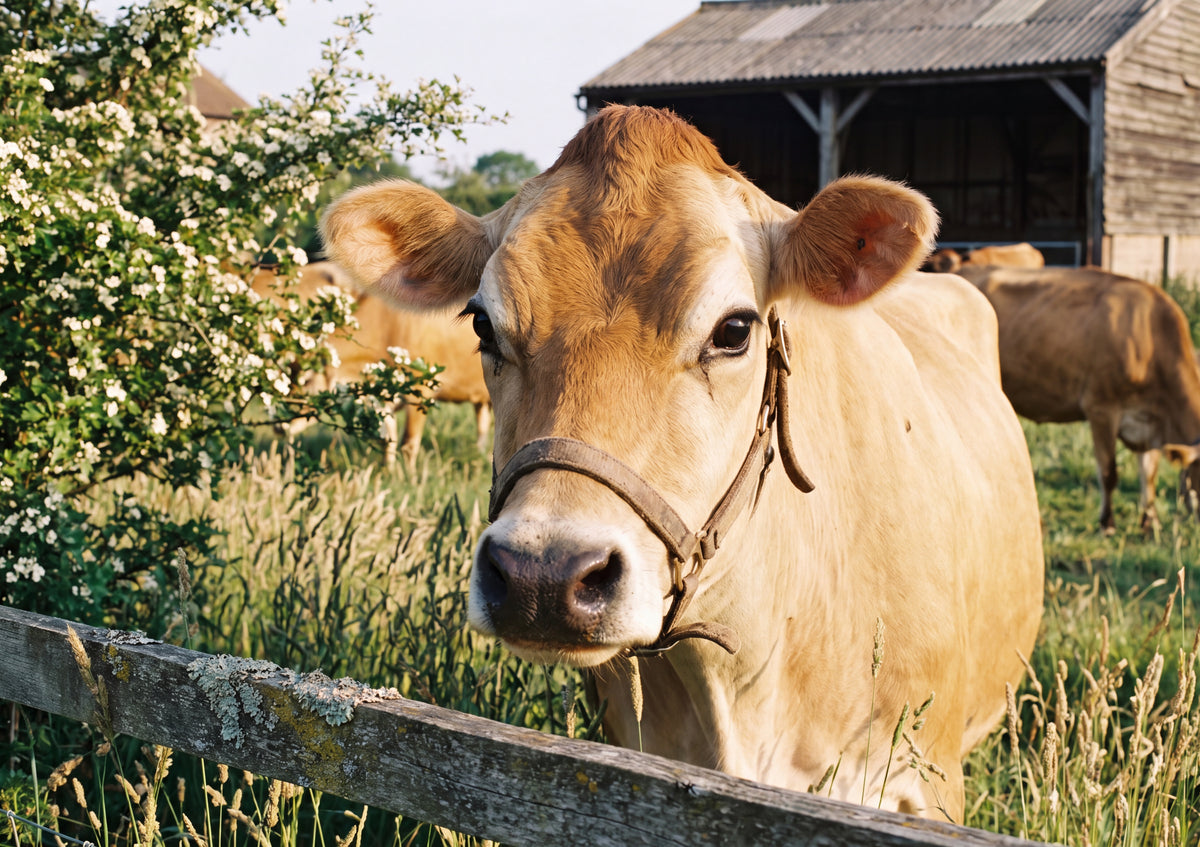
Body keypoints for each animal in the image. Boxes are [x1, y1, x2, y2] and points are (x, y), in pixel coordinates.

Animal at [251, 262, 490, 466]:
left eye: (308, 380)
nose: (280, 426)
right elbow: (387, 439)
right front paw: (388, 472)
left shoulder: (421, 391)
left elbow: (408, 444)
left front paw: (409, 480)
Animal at [954, 264, 1200, 532]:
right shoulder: (1101, 408)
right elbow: (1109, 472)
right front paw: (1107, 523)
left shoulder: (1151, 422)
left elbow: (1149, 474)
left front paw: (1150, 522)